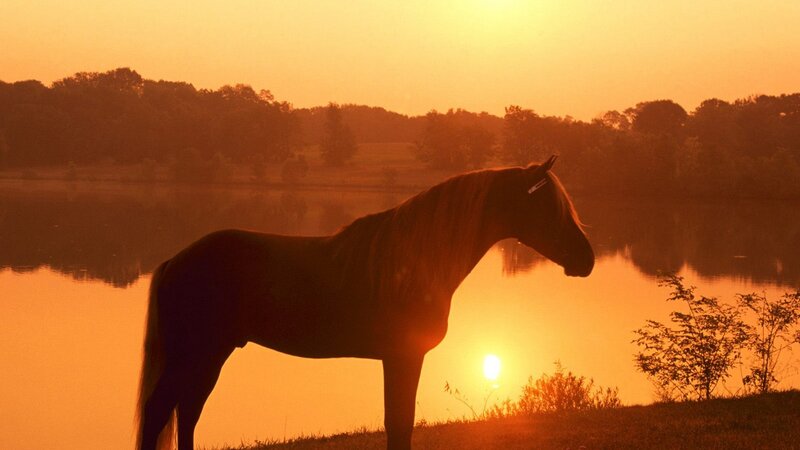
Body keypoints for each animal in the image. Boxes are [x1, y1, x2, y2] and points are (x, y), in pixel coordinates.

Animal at [135, 156, 594, 450]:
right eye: (549, 206)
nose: (586, 258)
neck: (413, 259)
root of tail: (176, 259)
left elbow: (399, 424)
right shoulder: (404, 356)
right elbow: (399, 425)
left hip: (211, 355)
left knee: (187, 412)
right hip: (193, 355)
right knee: (162, 412)